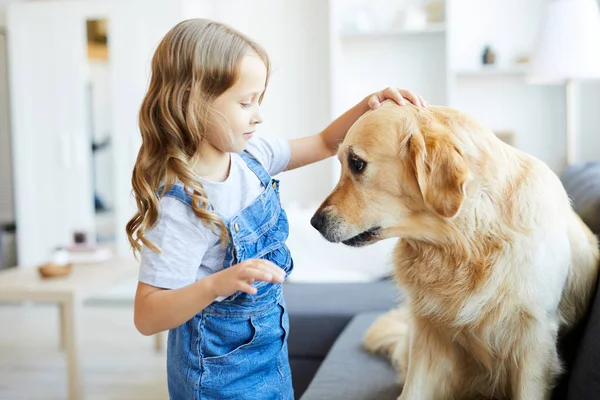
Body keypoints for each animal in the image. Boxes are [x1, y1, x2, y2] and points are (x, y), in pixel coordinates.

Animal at [312, 102, 596, 400]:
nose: (314, 222)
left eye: (356, 163)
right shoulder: (427, 334)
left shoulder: (535, 340)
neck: (466, 241)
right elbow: (412, 391)